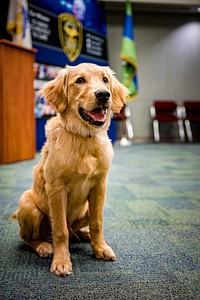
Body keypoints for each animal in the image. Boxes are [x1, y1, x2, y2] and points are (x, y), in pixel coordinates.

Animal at [12, 63, 127, 276]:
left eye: (105, 79)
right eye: (80, 80)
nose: (103, 95)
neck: (84, 138)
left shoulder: (100, 185)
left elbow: (97, 223)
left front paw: (100, 248)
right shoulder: (56, 188)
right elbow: (60, 230)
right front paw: (62, 261)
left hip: (86, 209)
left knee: (75, 230)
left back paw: (84, 235)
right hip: (28, 205)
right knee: (29, 238)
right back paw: (44, 246)